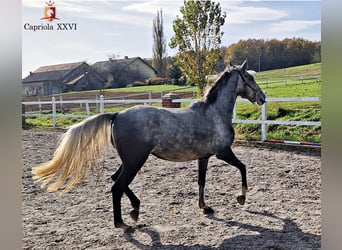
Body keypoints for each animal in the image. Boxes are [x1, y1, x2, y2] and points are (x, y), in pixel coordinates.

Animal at [32, 60, 266, 230]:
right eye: (250, 77)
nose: (263, 97)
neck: (213, 113)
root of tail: (116, 115)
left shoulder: (204, 157)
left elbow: (202, 181)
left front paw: (205, 207)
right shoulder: (223, 153)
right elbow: (243, 167)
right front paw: (241, 198)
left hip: (129, 161)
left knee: (116, 179)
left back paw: (135, 210)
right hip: (136, 161)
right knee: (117, 186)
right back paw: (122, 223)